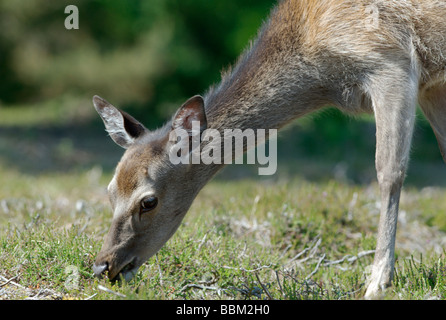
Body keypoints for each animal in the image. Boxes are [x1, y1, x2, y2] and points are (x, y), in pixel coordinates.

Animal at [90, 0, 446, 298]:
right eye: (109, 191)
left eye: (148, 201)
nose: (102, 265)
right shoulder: (431, 84)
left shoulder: (391, 62)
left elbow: (389, 172)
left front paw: (377, 283)